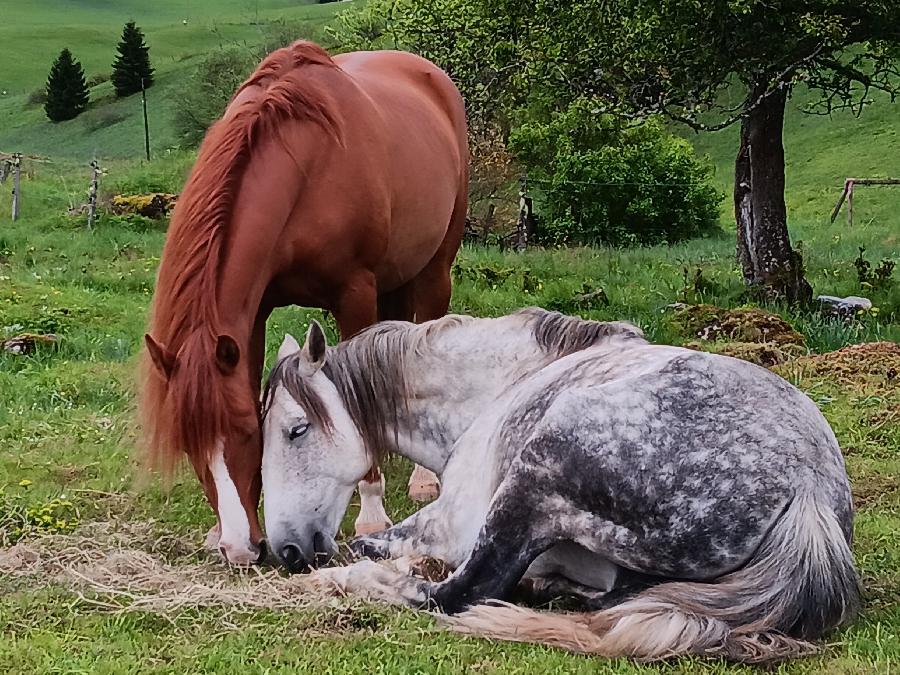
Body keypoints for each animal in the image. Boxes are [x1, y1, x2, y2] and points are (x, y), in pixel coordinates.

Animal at [140, 40, 468, 566]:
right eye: (189, 447)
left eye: (247, 431)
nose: (240, 548)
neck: (306, 170)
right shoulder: (253, 315)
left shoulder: (354, 294)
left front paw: (371, 511)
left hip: (434, 269)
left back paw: (420, 479)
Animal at [260, 308, 860, 663]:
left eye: (296, 429)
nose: (286, 550)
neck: (501, 383)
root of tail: (809, 490)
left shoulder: (449, 523)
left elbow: (374, 546)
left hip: (536, 469)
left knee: (458, 593)